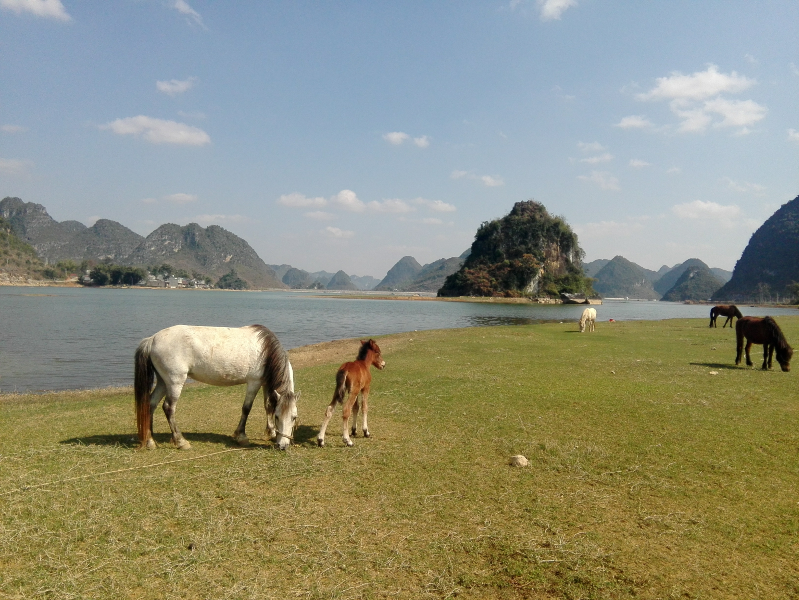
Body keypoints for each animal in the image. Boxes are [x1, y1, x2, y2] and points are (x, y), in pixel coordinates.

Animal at [134, 324, 300, 450]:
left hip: (163, 382)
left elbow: (268, 406)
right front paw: (241, 436)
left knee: (150, 404)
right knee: (168, 408)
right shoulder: (254, 382)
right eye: (278, 417)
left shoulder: (265, 383)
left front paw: (271, 433)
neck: (266, 350)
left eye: (294, 417)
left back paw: (150, 441)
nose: (283, 446)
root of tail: (152, 339)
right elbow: (246, 408)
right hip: (174, 381)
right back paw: (181, 442)